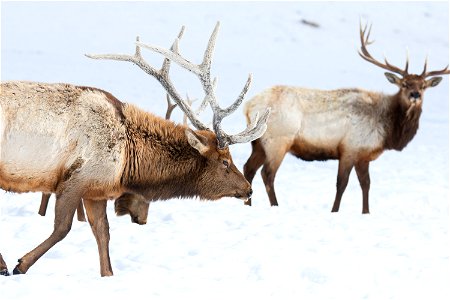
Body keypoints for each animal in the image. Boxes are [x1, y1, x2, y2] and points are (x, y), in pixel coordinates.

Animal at [0, 22, 268, 276]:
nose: (248, 189)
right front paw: (20, 264)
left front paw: (108, 274)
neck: (128, 162)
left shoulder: (95, 190)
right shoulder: (74, 179)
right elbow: (62, 229)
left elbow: (103, 233)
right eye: (225, 161)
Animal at [244, 22, 448, 213]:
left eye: (423, 86)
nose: (415, 95)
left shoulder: (364, 155)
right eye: (404, 84)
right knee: (267, 174)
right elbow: (342, 184)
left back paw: (248, 205)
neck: (388, 130)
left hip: (259, 143)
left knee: (249, 169)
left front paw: (366, 212)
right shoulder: (350, 148)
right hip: (278, 140)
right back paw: (275, 205)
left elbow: (366, 184)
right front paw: (334, 210)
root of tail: (249, 106)